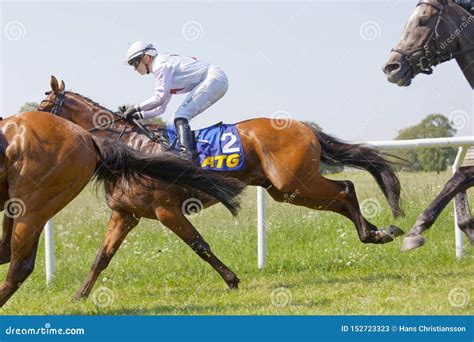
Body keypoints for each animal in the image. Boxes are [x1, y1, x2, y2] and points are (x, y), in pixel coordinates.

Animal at [0, 110, 244, 308]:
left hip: (32, 205)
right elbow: (103, 256)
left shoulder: (165, 210)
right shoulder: (126, 213)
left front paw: (231, 279)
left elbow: (198, 244)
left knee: (20, 265)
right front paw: (80, 295)